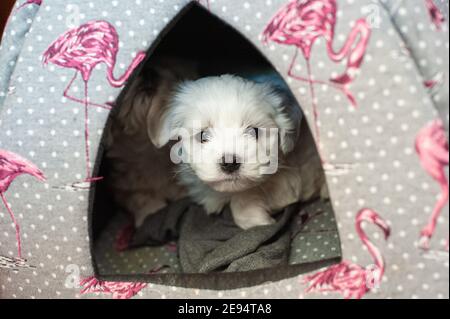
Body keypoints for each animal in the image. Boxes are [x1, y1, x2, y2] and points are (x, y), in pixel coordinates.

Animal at [156, 75, 328, 230]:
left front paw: (256, 220)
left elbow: (244, 196)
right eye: (203, 135)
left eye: (254, 132)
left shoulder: (288, 181)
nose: (229, 163)